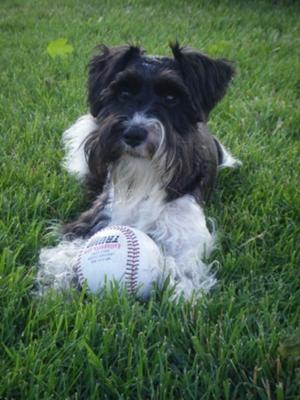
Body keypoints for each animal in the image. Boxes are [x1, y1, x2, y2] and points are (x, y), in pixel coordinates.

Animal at [37, 43, 239, 300]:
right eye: (123, 93)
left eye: (171, 98)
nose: (133, 134)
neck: (144, 180)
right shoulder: (95, 218)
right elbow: (65, 252)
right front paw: (56, 284)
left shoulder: (186, 236)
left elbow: (182, 266)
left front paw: (181, 291)